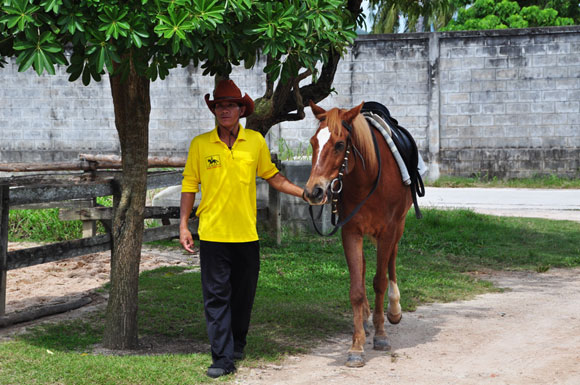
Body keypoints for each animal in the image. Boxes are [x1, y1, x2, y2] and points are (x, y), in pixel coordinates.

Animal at [304, 100, 412, 366]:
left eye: (340, 144)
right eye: (313, 142)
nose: (313, 191)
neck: (368, 179)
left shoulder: (388, 231)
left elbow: (380, 281)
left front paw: (381, 335)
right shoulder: (351, 231)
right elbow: (356, 288)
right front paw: (357, 345)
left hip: (399, 226)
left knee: (392, 260)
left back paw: (394, 310)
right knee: (363, 268)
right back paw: (364, 317)